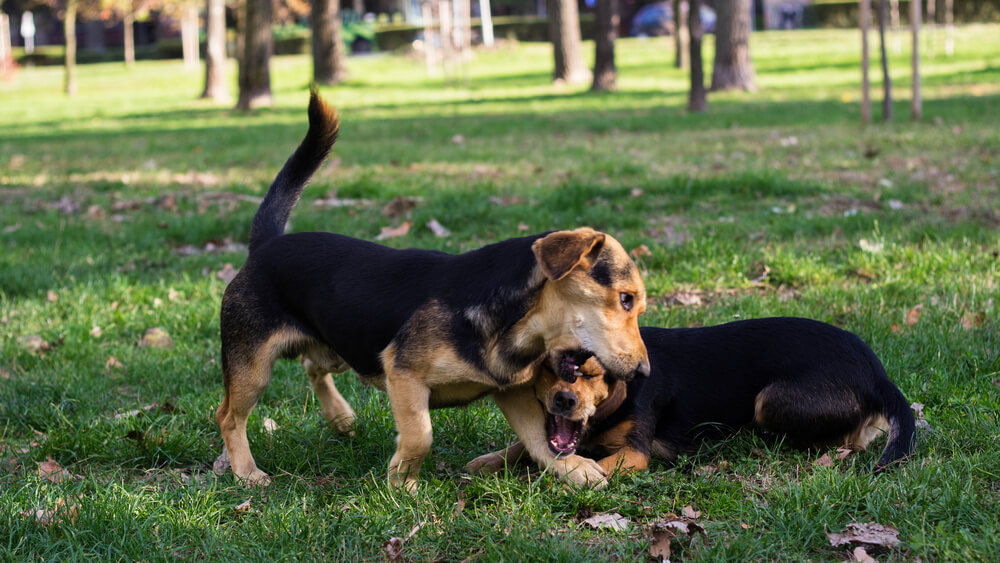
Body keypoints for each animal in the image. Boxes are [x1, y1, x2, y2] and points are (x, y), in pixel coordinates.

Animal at [216, 91, 652, 490]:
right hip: (253, 365)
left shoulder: (511, 392)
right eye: (626, 299)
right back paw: (246, 470)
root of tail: (266, 243)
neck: (516, 327)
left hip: (339, 347)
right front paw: (402, 485)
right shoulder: (403, 374)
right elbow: (420, 435)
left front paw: (573, 468)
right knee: (228, 415)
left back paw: (338, 418)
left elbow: (539, 440)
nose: (645, 372)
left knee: (310, 366)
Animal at [468, 320, 916, 478]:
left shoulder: (634, 454)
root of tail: (877, 372)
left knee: (855, 437)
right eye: (548, 368)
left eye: (591, 373)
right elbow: (526, 444)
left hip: (768, 400)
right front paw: (489, 460)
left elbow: (590, 463)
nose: (563, 401)